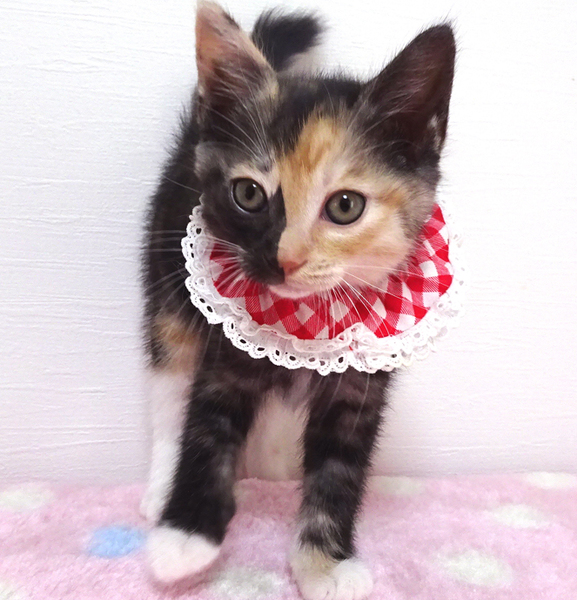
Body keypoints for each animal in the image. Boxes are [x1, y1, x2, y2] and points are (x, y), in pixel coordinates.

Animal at [141, 2, 455, 599]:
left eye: (346, 206)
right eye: (248, 194)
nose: (283, 260)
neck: (308, 316)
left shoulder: (363, 380)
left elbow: (339, 468)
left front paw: (324, 562)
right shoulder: (227, 347)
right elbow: (207, 429)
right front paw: (186, 535)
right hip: (166, 276)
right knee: (169, 371)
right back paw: (160, 483)